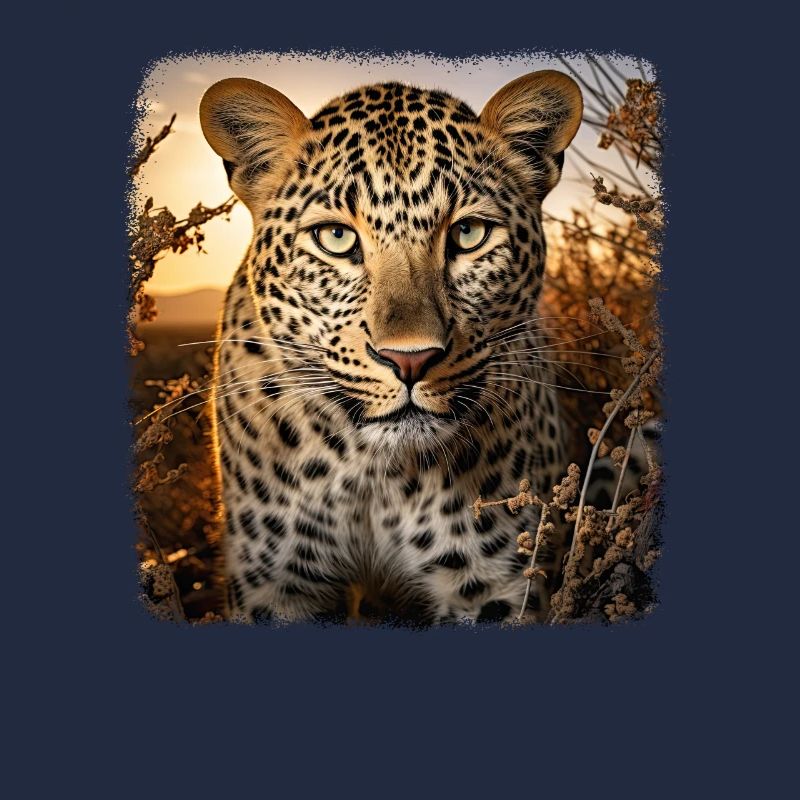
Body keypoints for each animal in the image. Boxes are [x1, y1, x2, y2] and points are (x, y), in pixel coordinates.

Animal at [199, 70, 584, 625]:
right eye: (336, 237)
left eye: (469, 233)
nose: (410, 359)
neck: (376, 476)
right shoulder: (276, 584)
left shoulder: (496, 584)